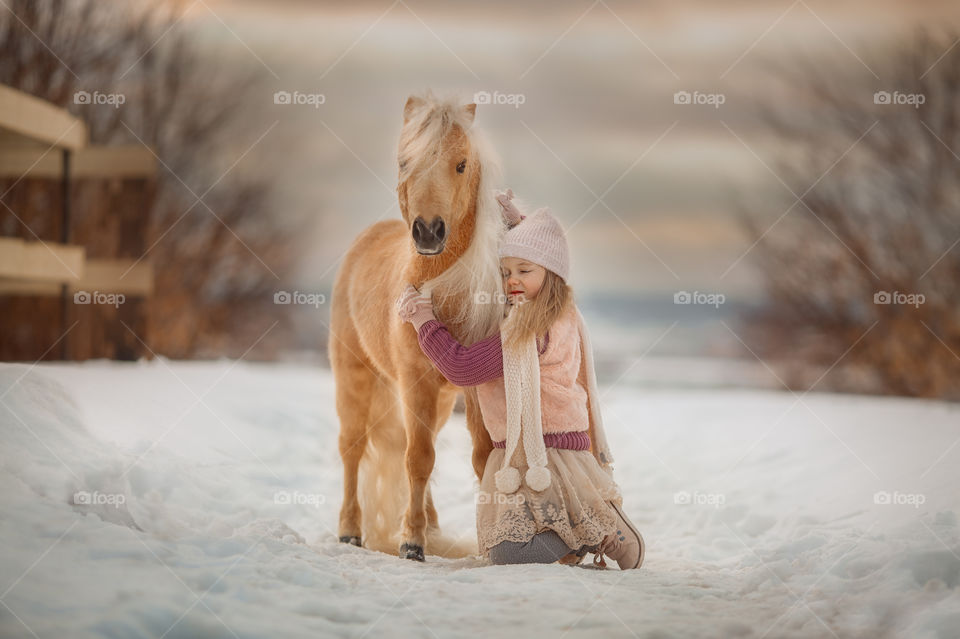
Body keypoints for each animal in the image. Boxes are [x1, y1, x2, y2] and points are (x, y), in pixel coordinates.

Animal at [330, 92, 506, 564]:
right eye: (403, 162)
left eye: (461, 164)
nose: (428, 231)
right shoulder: (415, 382)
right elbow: (418, 459)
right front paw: (411, 543)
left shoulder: (472, 389)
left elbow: (482, 458)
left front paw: (487, 547)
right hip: (355, 378)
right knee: (353, 448)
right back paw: (350, 532)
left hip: (440, 400)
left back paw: (434, 527)